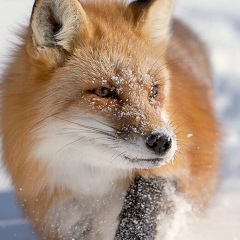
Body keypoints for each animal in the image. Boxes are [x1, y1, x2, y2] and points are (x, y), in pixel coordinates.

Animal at [0, 0, 218, 239]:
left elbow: (146, 198)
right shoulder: (58, 214)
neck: (92, 185)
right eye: (103, 92)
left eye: (154, 91)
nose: (162, 141)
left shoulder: (174, 167)